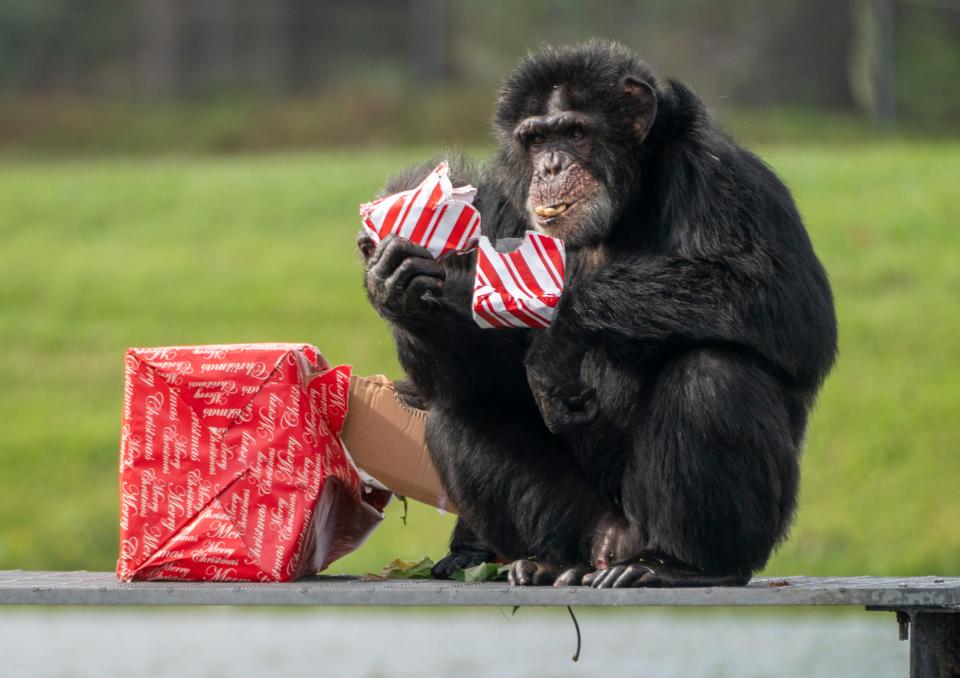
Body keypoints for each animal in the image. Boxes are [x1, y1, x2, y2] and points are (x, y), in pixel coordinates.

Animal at [356, 39, 836, 588]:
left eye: (574, 132)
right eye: (536, 138)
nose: (550, 166)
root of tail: (618, 544)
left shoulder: (724, 178)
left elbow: (783, 302)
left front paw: (562, 330)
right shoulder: (501, 205)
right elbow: (475, 375)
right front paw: (400, 284)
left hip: (714, 528)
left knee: (713, 375)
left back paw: (686, 566)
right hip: (587, 522)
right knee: (458, 416)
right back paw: (550, 561)